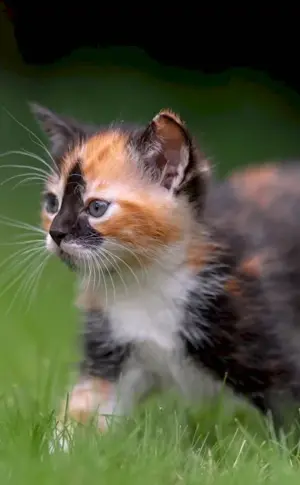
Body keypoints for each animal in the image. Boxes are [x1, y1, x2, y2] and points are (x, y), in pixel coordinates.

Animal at [31, 104, 300, 436]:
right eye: (52, 203)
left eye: (96, 208)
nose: (56, 232)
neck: (145, 281)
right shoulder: (110, 349)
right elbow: (83, 407)